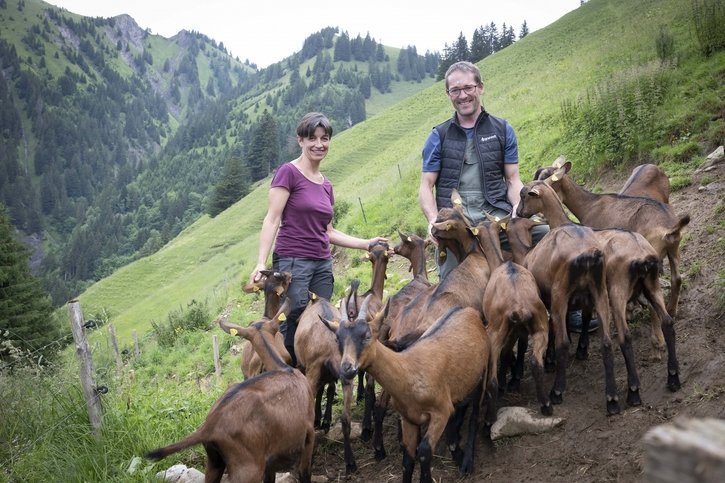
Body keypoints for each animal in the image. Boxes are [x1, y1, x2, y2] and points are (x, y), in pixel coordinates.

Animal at [147, 302, 314, 483]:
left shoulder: (269, 458)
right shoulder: (309, 434)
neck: (282, 367)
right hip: (248, 468)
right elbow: (305, 473)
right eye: (280, 336)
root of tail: (209, 427)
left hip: (215, 462)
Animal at [320, 294, 492, 483]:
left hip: (483, 372)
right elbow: (408, 460)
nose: (347, 369)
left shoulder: (441, 412)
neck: (409, 372)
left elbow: (424, 451)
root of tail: (469, 312)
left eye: (366, 335)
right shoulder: (409, 419)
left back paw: (467, 462)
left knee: (474, 415)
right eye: (337, 339)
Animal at [516, 174, 624, 416]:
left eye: (524, 195)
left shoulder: (551, 298)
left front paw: (549, 360)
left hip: (560, 295)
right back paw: (612, 399)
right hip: (600, 293)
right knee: (606, 342)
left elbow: (555, 329)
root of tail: (589, 255)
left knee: (563, 342)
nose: (518, 212)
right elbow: (581, 319)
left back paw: (557, 391)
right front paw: (581, 349)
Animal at [536, 156, 692, 318]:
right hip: (674, 248)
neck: (589, 205)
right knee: (676, 279)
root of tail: (671, 228)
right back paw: (672, 310)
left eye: (546, 179)